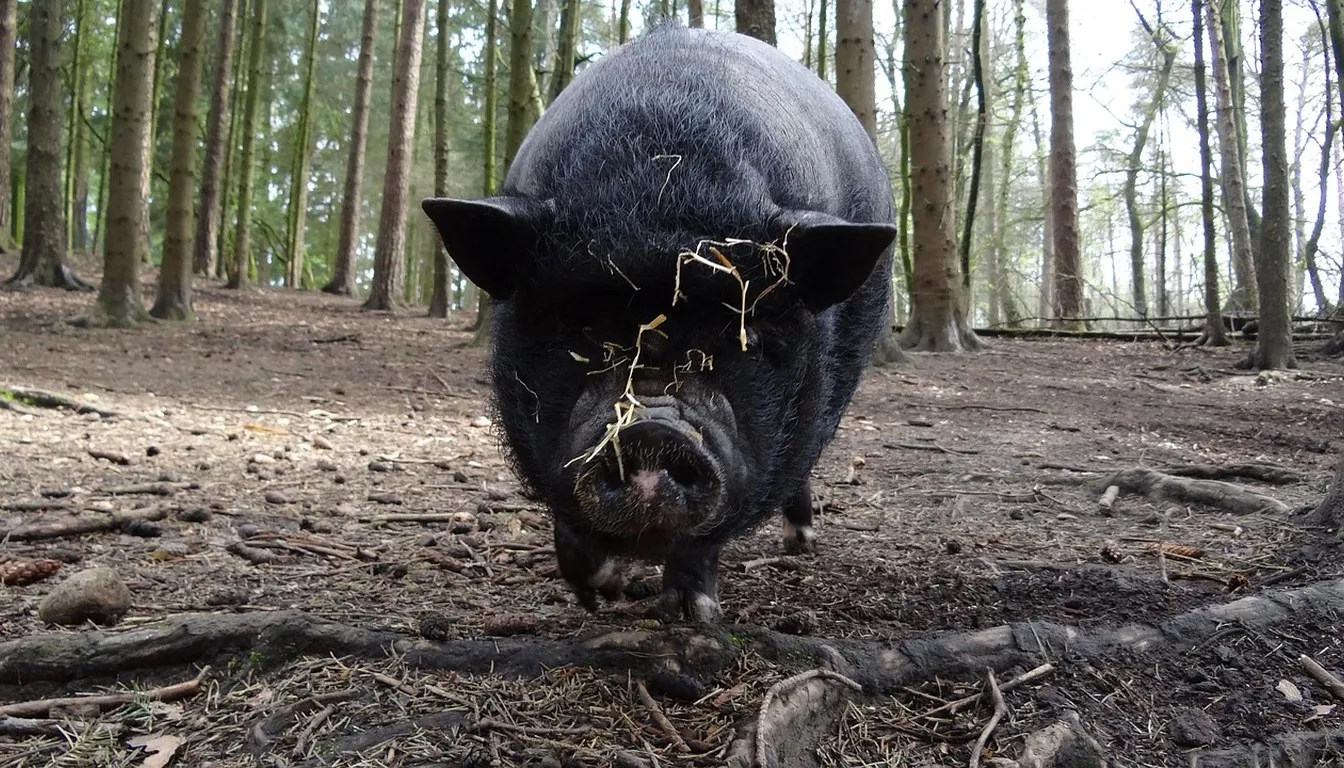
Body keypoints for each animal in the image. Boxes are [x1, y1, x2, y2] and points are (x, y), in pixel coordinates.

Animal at [423, 23, 896, 622]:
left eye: (745, 334)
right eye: (576, 325)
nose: (650, 430)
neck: (657, 188)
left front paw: (691, 613)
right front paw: (598, 592)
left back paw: (800, 545)